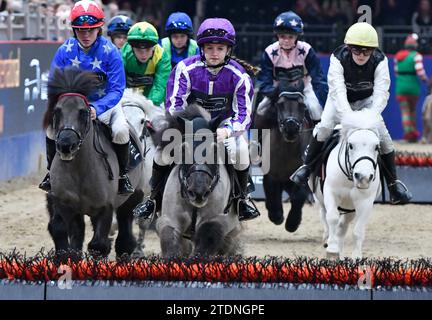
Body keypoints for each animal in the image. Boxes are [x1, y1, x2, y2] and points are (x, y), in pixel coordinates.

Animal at [310, 109, 382, 258]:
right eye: (351, 145)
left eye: (376, 147)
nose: (363, 177)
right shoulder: (331, 193)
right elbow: (332, 218)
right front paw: (332, 249)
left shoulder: (365, 202)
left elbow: (358, 230)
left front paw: (356, 257)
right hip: (320, 199)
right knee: (324, 214)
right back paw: (327, 239)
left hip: (350, 208)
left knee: (343, 226)